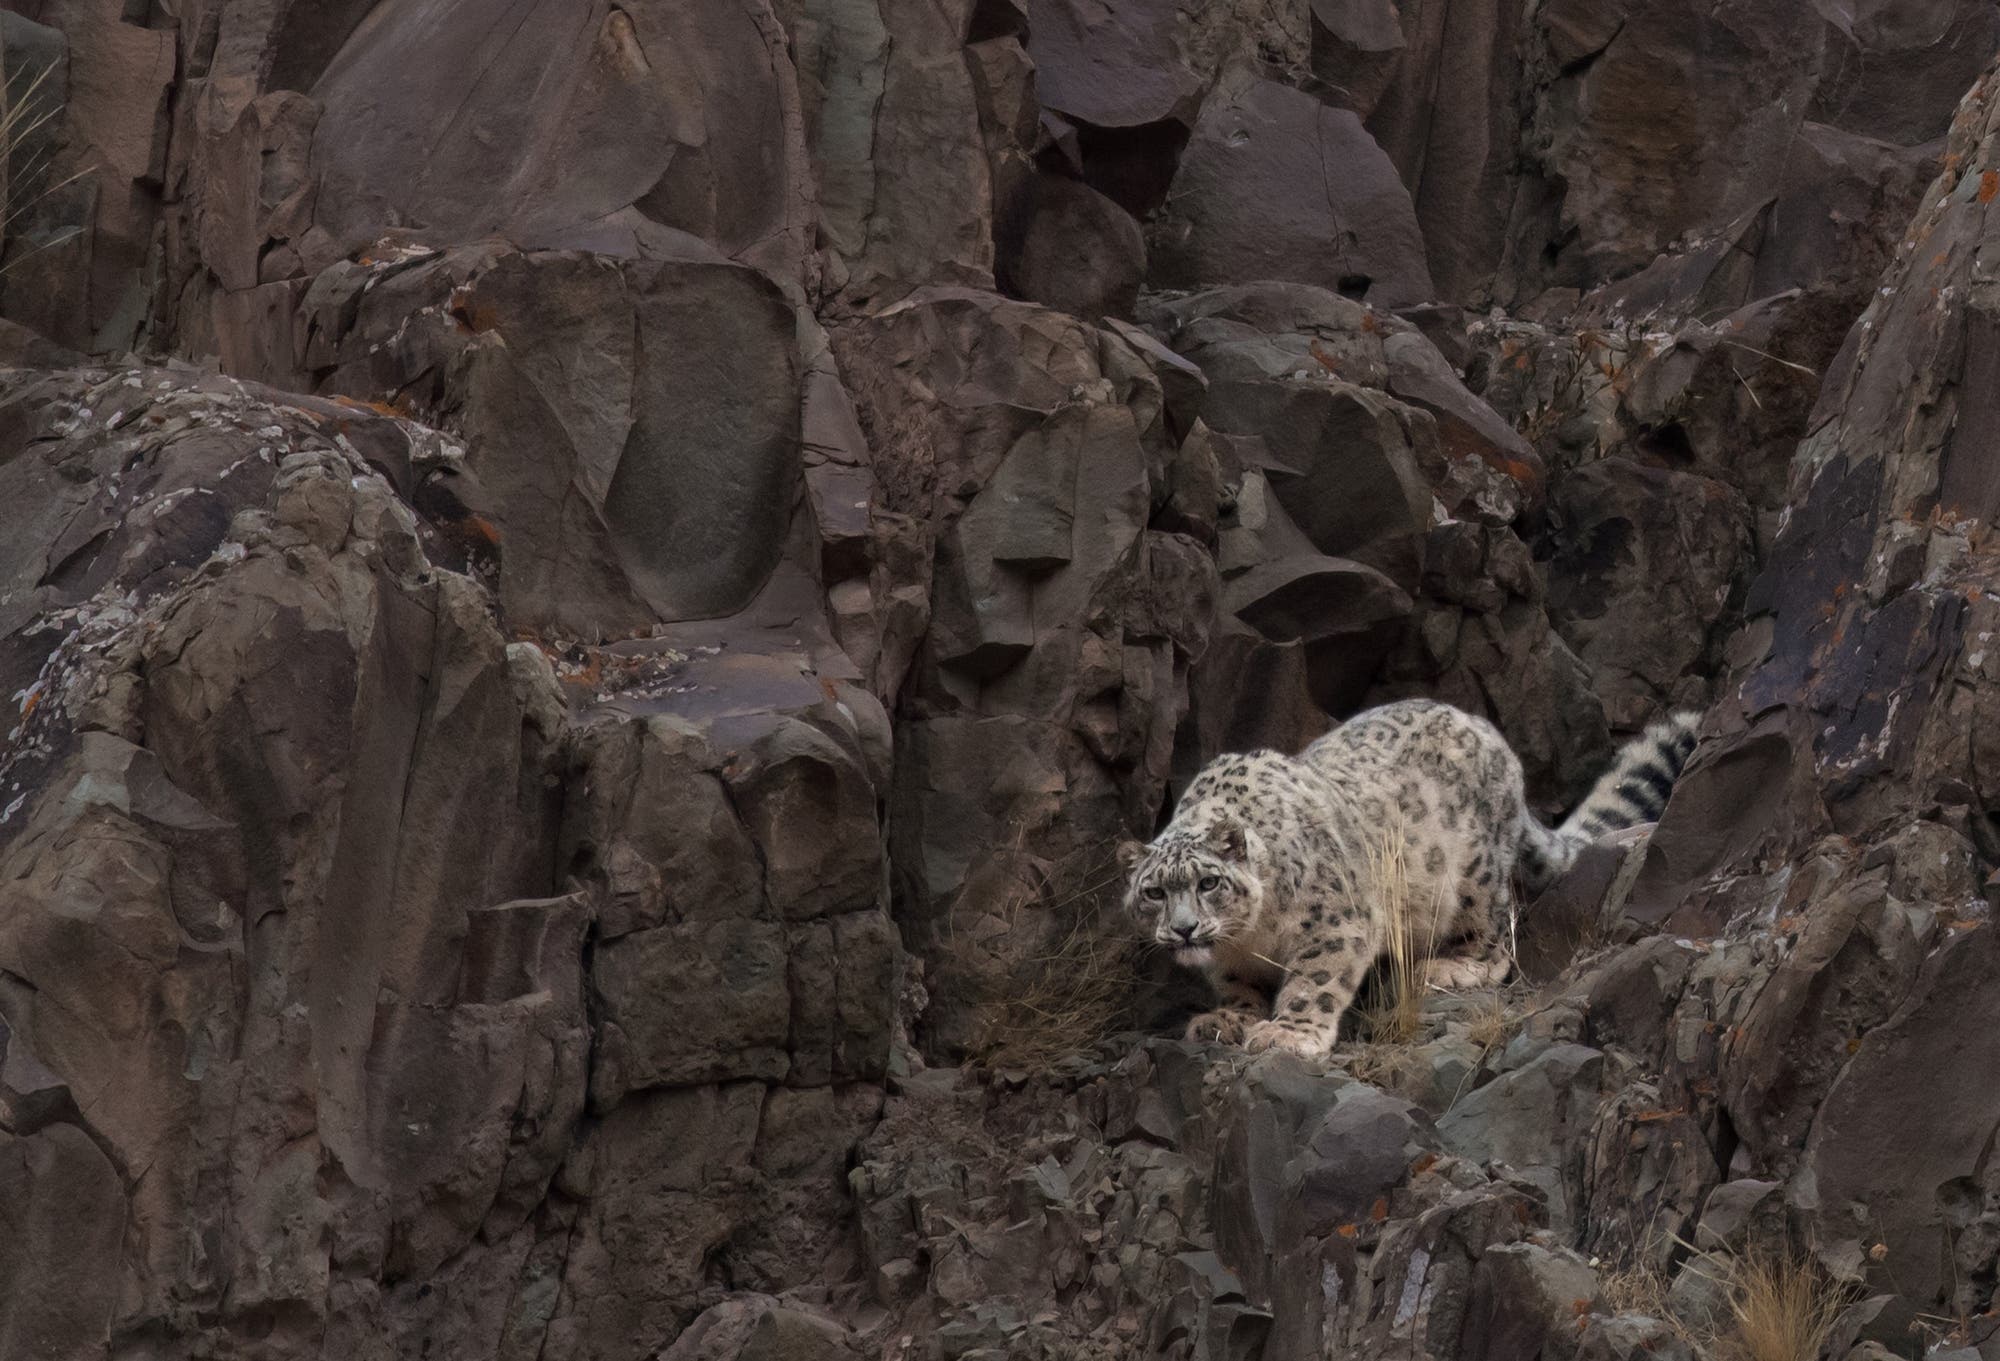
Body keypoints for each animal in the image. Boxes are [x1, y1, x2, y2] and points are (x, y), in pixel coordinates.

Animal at [1118, 698, 1700, 1058]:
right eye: (1154, 892)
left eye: (1208, 883)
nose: (1185, 929)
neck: (1251, 936)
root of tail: (1488, 733)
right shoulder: (1231, 962)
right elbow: (1239, 988)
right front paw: (1227, 1019)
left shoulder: (1337, 920)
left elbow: (1315, 980)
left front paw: (1288, 1034)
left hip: (1472, 877)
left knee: (1496, 932)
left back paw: (1451, 967)